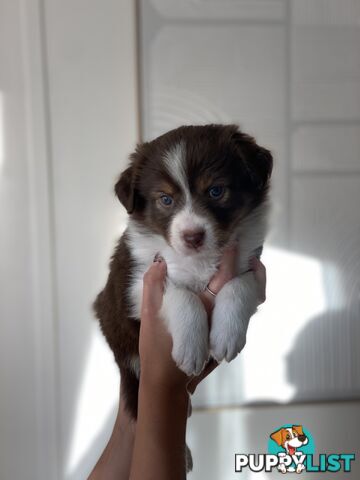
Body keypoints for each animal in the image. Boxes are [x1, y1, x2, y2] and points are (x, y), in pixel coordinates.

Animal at [94, 124, 272, 420]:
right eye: (165, 199)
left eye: (215, 191)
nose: (192, 237)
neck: (200, 258)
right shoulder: (134, 285)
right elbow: (180, 293)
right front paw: (191, 348)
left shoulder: (255, 268)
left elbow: (239, 285)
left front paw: (227, 335)